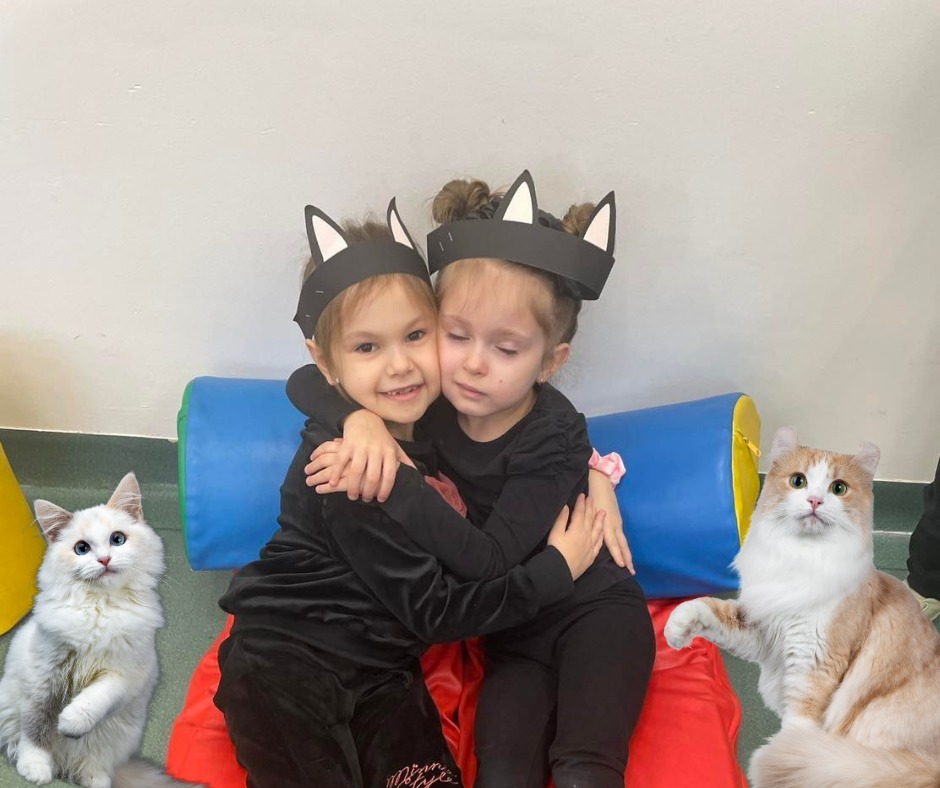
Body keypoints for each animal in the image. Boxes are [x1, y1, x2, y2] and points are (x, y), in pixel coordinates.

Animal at [0, 472, 201, 788]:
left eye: (117, 540)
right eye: (82, 548)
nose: (104, 560)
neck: (100, 607)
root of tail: (66, 767)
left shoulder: (126, 673)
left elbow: (95, 698)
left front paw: (70, 722)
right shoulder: (43, 677)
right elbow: (36, 726)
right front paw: (35, 767)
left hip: (113, 745)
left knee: (96, 772)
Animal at [664, 427, 940, 788]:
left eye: (838, 488)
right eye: (798, 481)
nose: (815, 501)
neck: (801, 560)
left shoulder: (815, 660)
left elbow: (796, 728)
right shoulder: (764, 629)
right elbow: (708, 608)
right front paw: (675, 628)